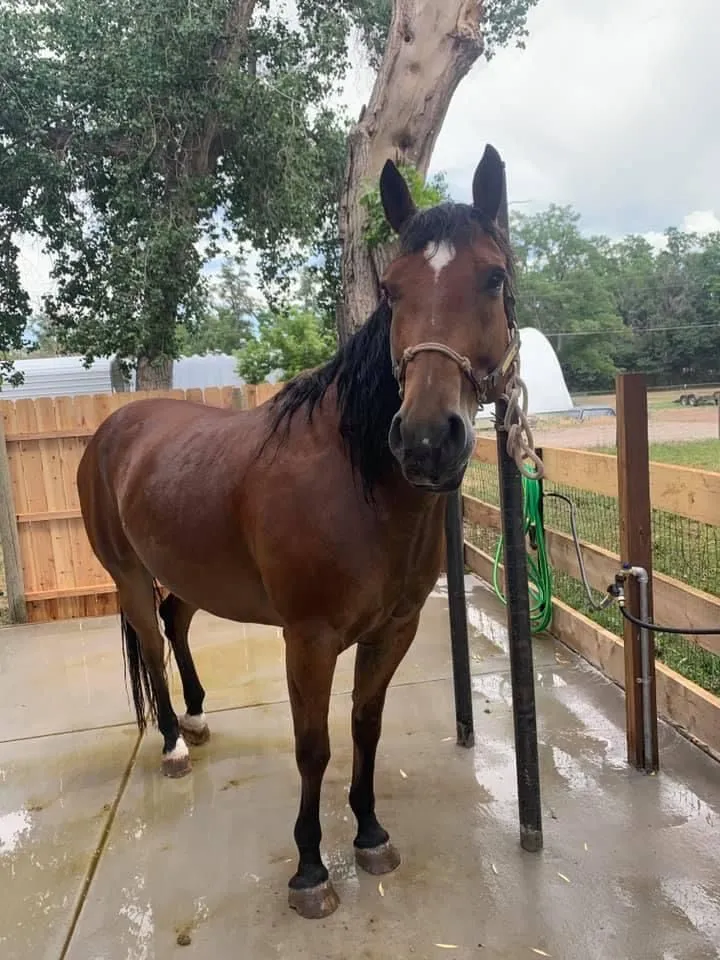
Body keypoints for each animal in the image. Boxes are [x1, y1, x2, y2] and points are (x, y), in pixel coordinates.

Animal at [76, 143, 518, 920]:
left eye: (493, 278)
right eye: (393, 291)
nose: (426, 440)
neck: (360, 485)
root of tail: (111, 430)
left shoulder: (392, 630)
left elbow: (365, 727)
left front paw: (370, 834)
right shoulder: (307, 641)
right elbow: (312, 745)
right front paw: (311, 869)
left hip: (191, 573)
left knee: (175, 621)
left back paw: (198, 718)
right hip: (128, 575)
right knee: (152, 646)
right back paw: (172, 744)